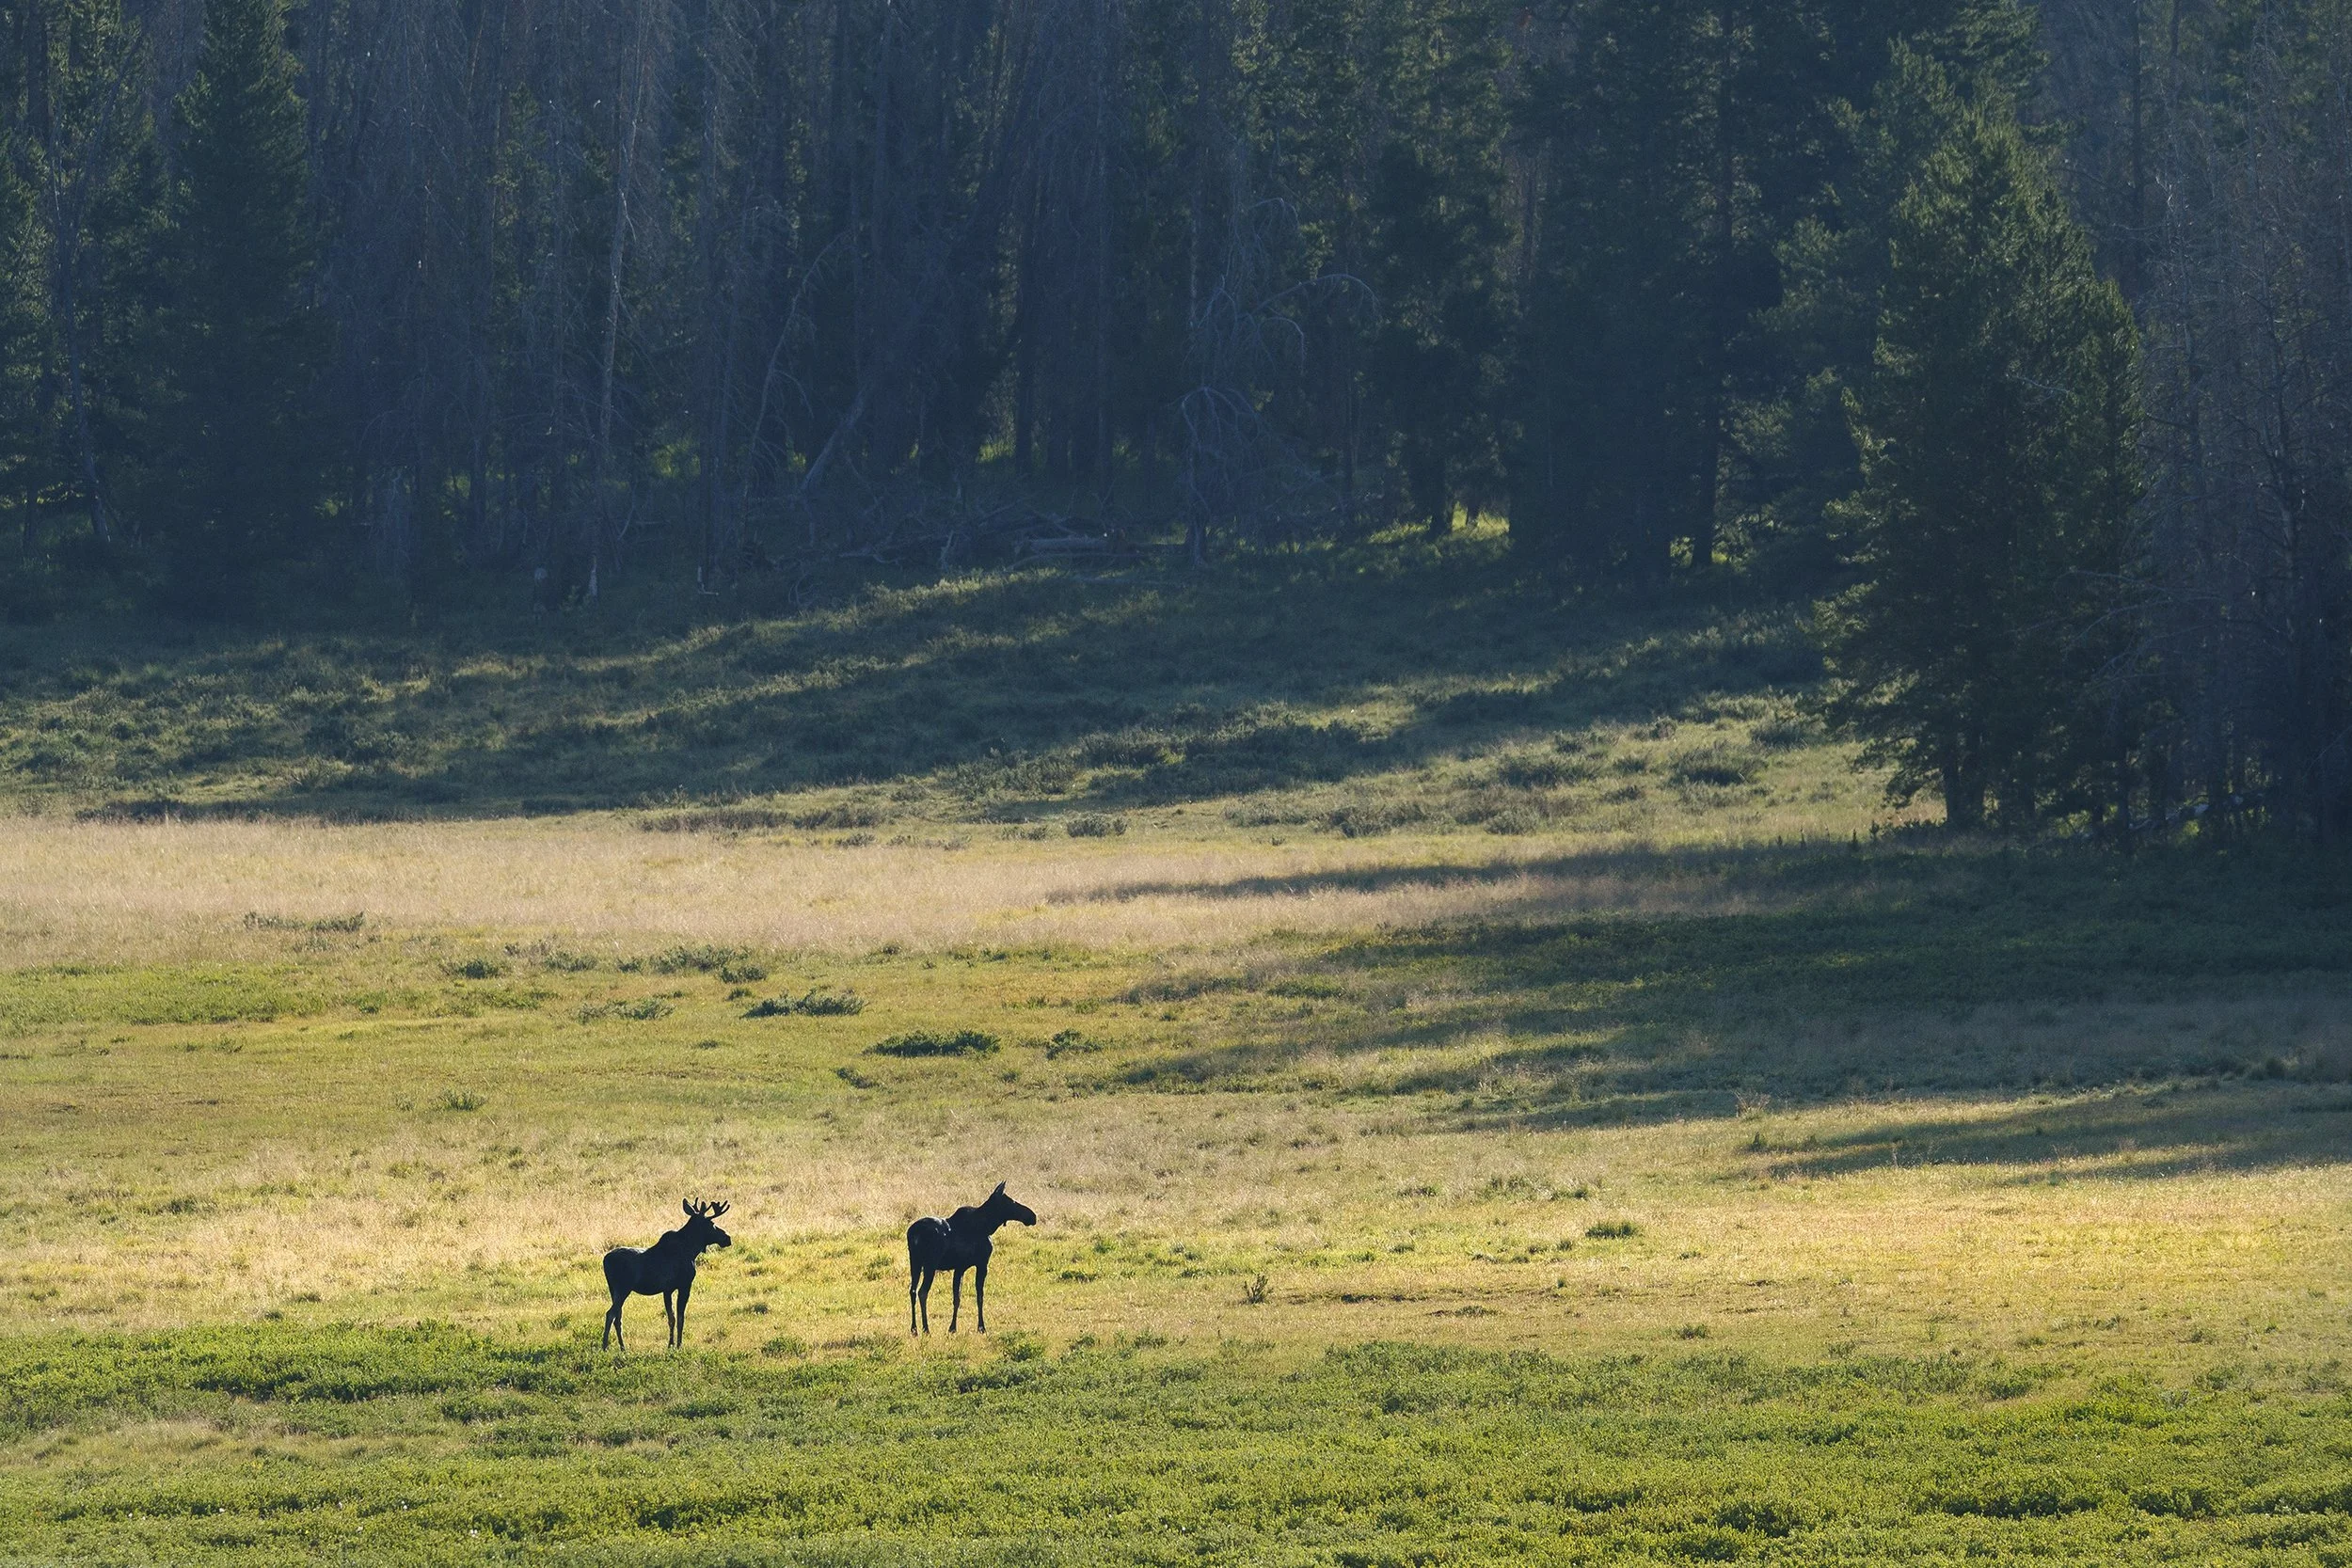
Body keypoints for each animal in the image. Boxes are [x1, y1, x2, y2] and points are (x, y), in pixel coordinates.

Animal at [602, 1199, 731, 1350]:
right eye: (712, 1224)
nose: (728, 1238)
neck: (692, 1250)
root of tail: (605, 1260)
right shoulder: (685, 1285)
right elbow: (680, 1317)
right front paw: (679, 1345)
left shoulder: (667, 1289)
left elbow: (671, 1318)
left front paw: (670, 1344)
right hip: (623, 1288)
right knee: (610, 1314)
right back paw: (605, 1346)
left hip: (613, 1290)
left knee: (618, 1317)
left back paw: (623, 1348)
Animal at [907, 1182, 1037, 1334]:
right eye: (1011, 1201)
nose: (1032, 1216)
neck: (987, 1226)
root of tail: (913, 1234)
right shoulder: (982, 1264)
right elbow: (979, 1296)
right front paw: (981, 1327)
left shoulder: (960, 1268)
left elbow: (957, 1298)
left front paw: (953, 1328)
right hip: (930, 1264)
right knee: (922, 1292)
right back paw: (926, 1328)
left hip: (915, 1262)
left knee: (912, 1291)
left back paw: (914, 1329)